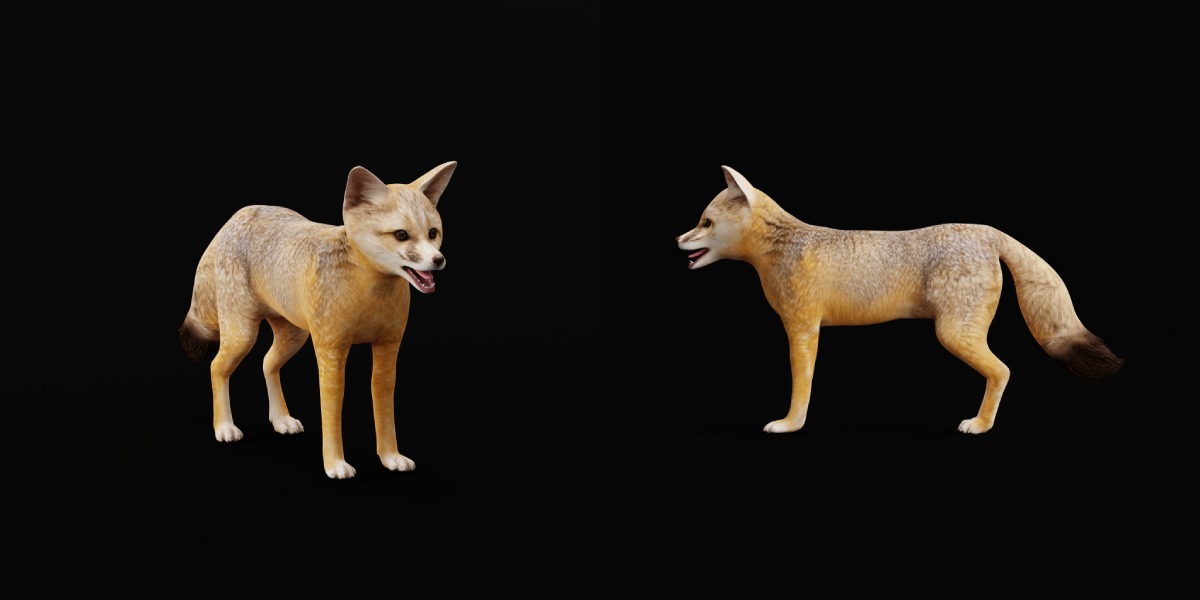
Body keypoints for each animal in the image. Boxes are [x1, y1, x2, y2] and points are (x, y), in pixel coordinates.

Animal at [179, 161, 456, 479]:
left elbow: (384, 406)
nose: (438, 260)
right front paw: (335, 463)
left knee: (266, 363)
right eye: (401, 235)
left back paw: (281, 419)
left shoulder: (388, 347)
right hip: (243, 335)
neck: (370, 297)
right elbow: (332, 406)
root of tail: (241, 213)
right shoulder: (331, 350)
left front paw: (390, 457)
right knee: (217, 367)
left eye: (433, 233)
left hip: (293, 337)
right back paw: (224, 426)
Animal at [675, 165, 1123, 434]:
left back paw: (980, 424)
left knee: (1003, 371)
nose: (678, 239)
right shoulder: (805, 330)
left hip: (954, 335)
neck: (785, 247)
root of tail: (986, 231)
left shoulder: (802, 331)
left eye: (705, 222)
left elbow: (801, 385)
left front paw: (790, 424)